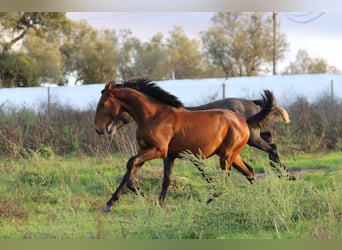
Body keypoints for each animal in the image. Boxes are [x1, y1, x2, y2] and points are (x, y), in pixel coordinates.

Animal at [95, 78, 290, 211]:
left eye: (103, 103)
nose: (101, 129)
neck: (154, 116)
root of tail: (245, 119)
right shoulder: (163, 154)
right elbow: (161, 178)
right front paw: (157, 203)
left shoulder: (158, 150)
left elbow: (131, 165)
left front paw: (140, 193)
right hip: (233, 155)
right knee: (250, 172)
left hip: (228, 155)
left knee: (231, 177)